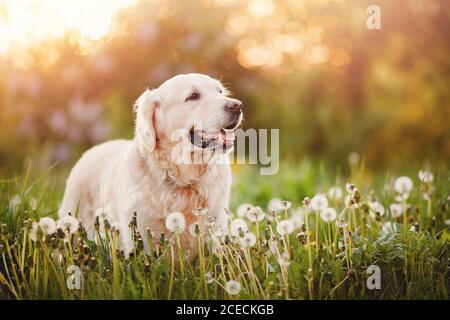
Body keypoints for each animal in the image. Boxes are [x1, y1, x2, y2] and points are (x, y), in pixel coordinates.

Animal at [60, 73, 243, 258]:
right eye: (193, 96)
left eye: (219, 91)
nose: (237, 105)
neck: (182, 176)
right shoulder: (138, 230)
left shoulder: (216, 224)